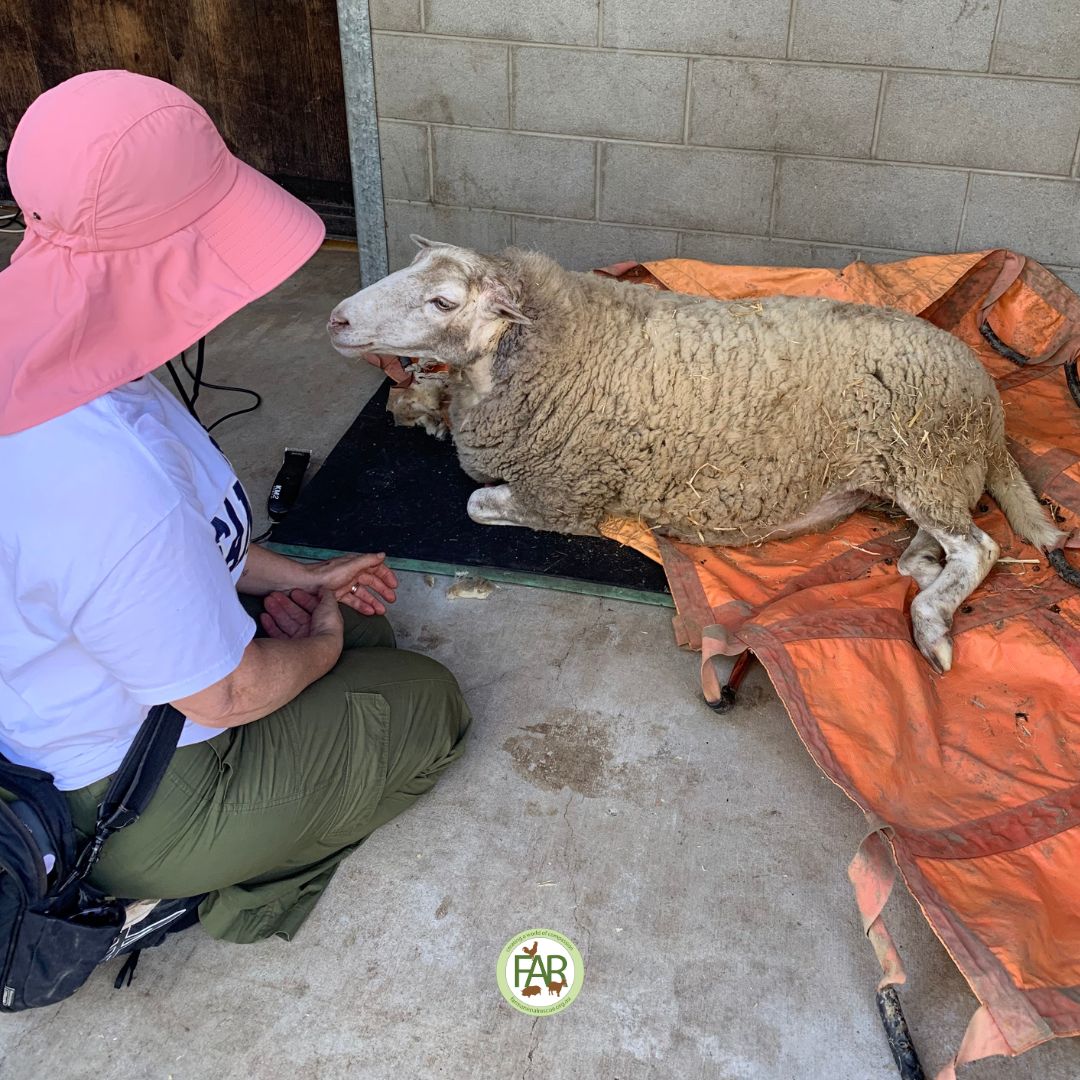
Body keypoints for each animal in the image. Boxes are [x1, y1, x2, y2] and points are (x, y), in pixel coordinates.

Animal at [326, 239, 1071, 669]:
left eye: (442, 300)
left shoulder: (563, 496)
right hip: (919, 475)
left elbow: (479, 505)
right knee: (937, 545)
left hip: (927, 459)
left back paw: (932, 625)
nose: (337, 318)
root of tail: (989, 405)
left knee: (979, 547)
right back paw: (920, 571)